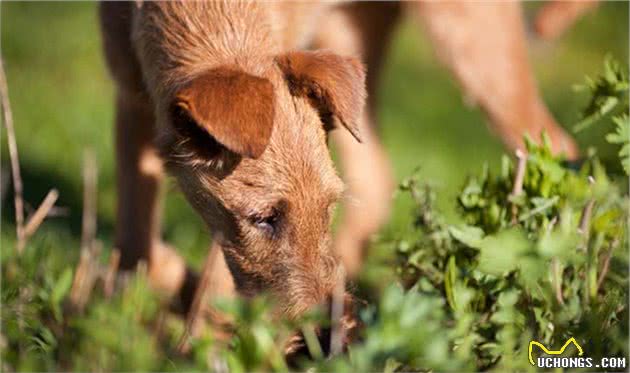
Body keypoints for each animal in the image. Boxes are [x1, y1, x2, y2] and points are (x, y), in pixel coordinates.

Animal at [100, 0, 588, 314]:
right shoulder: (131, 103)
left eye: (327, 207)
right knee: (375, 179)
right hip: (351, 45)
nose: (319, 329)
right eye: (264, 218)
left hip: (475, 47)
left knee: (564, 155)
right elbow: (135, 245)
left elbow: (212, 287)